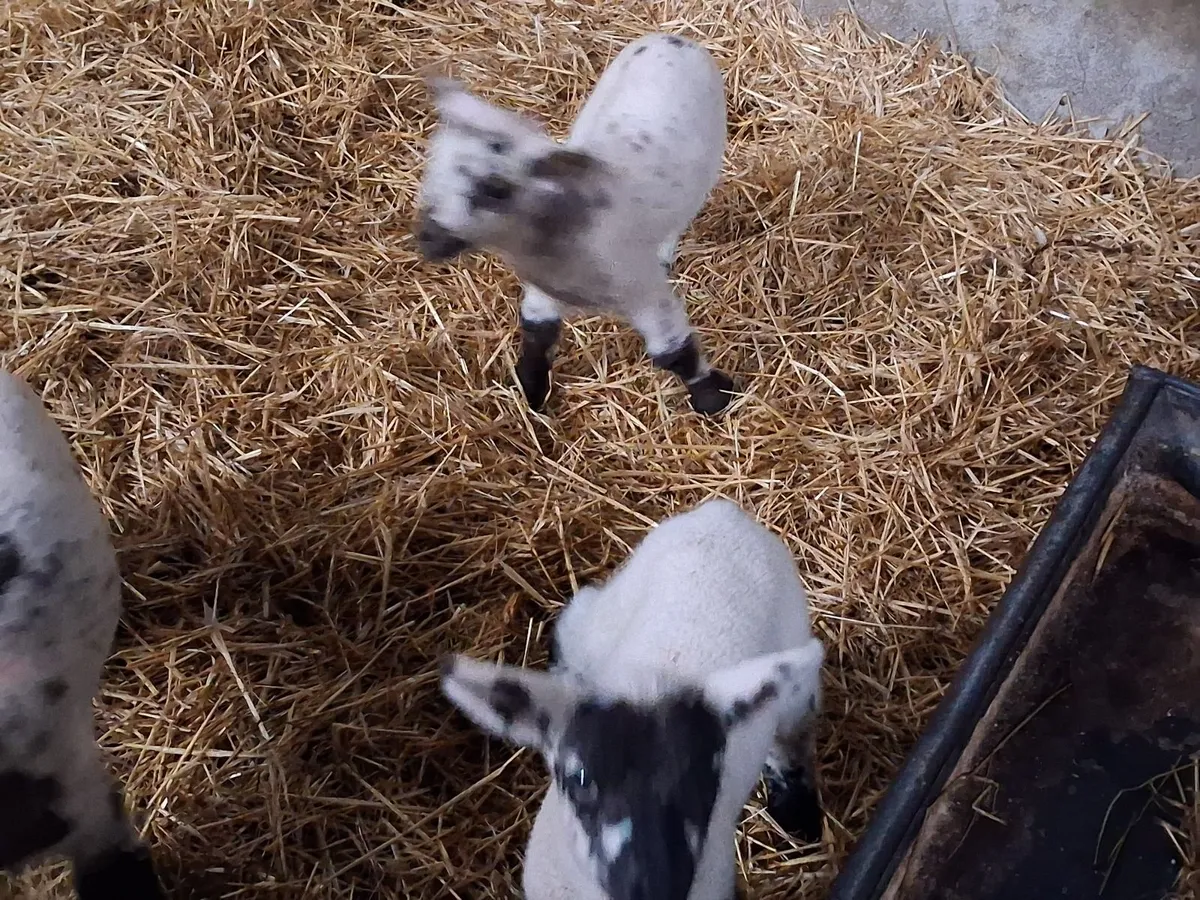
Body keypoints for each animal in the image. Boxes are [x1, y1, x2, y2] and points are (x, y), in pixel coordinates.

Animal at [414, 32, 737, 417]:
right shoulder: (543, 289)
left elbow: (674, 352)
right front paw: (532, 390)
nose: (427, 239)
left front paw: (715, 397)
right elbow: (538, 332)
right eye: (431, 165)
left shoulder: (642, 288)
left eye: (495, 189)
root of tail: (672, 37)